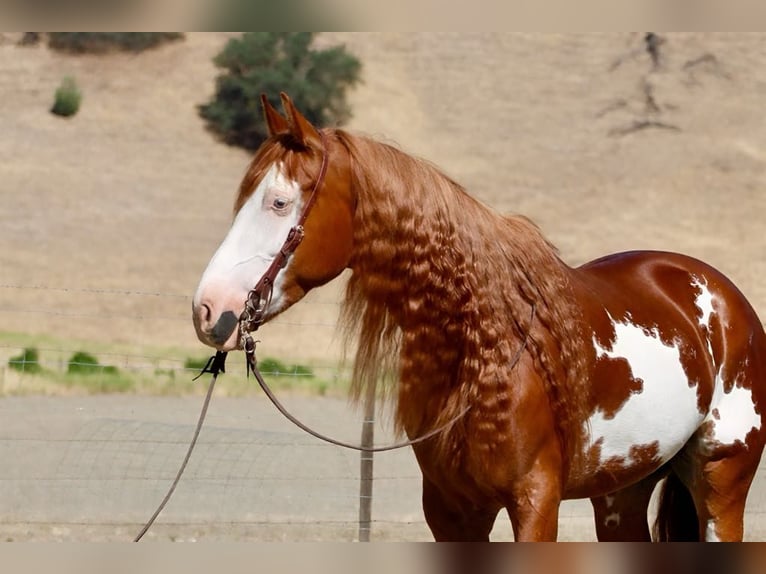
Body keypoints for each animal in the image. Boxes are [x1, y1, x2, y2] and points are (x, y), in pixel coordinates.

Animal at [192, 93, 766, 541]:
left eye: (278, 202)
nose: (208, 310)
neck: (483, 349)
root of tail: (721, 295)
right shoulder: (451, 512)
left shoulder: (535, 501)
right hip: (622, 493)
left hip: (721, 480)